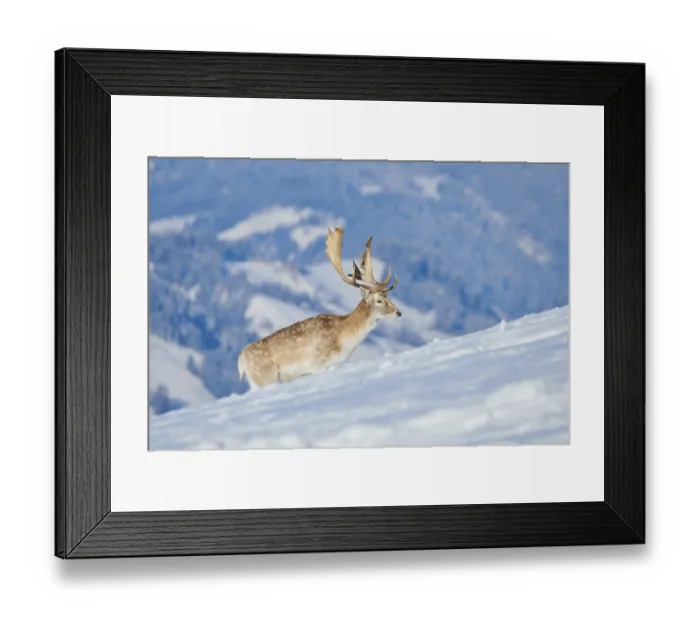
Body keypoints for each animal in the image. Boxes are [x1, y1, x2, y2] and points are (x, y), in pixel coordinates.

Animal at [238, 227, 401, 390]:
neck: (343, 340)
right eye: (379, 301)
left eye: (388, 296)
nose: (398, 312)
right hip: (265, 379)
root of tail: (241, 362)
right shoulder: (318, 365)